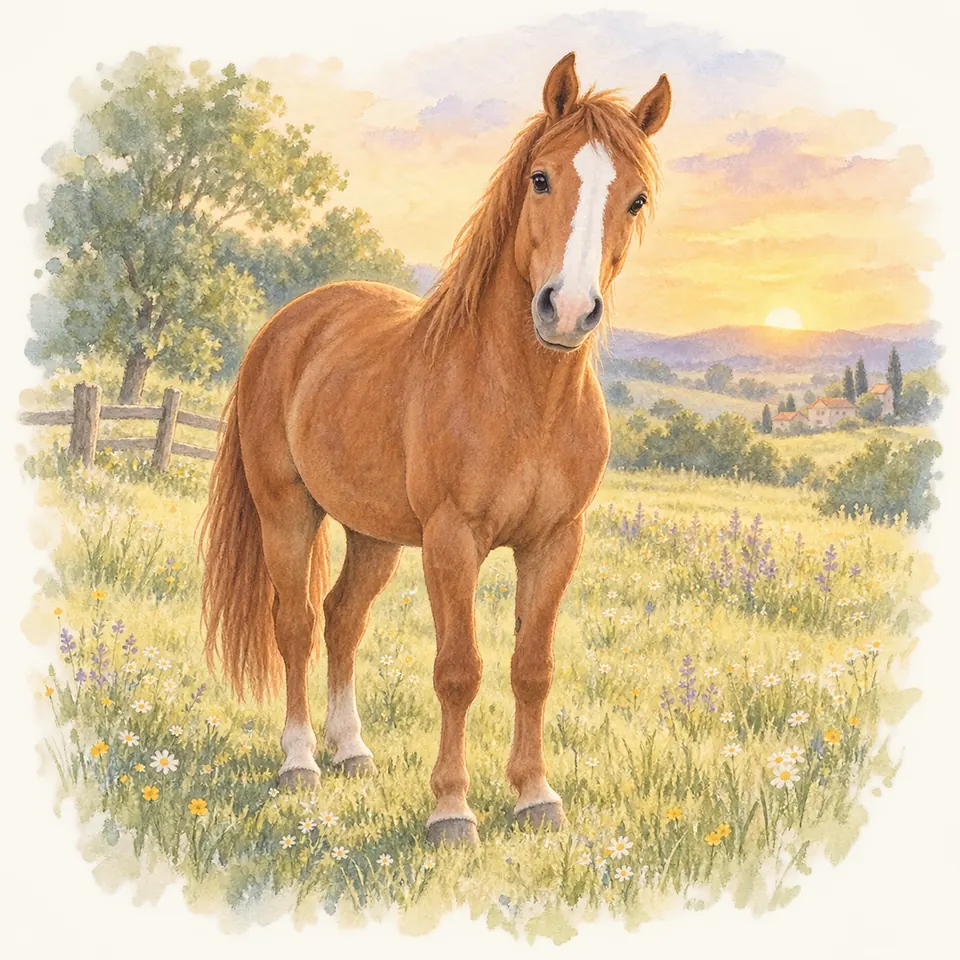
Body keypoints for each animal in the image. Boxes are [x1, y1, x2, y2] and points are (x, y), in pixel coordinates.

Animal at [201, 52, 671, 846]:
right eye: (541, 178)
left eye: (635, 200)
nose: (567, 311)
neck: (523, 396)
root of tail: (290, 324)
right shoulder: (454, 541)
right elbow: (458, 669)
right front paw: (452, 810)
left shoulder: (555, 541)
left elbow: (531, 666)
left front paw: (536, 797)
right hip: (286, 512)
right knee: (296, 624)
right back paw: (300, 762)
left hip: (374, 534)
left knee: (343, 619)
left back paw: (352, 751)